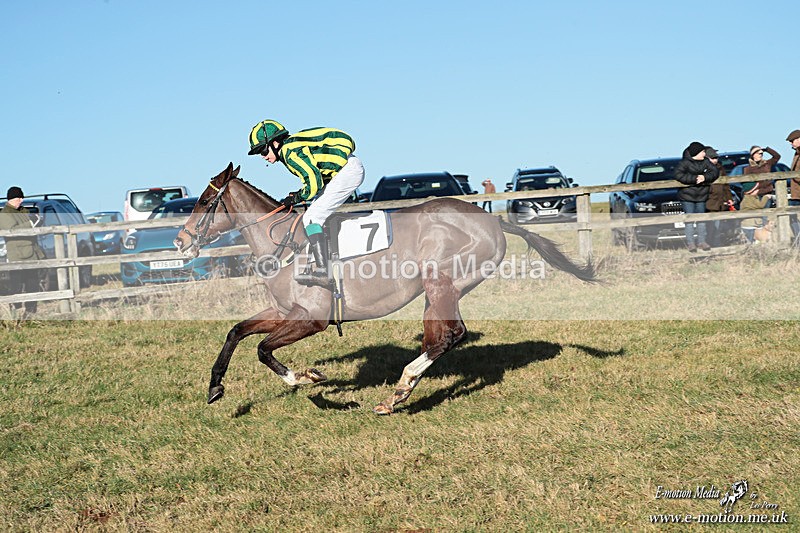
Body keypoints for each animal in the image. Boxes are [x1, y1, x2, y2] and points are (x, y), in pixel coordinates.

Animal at [174, 163, 595, 414]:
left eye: (206, 201)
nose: (180, 241)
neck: (285, 245)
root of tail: (491, 220)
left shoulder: (311, 320)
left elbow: (262, 349)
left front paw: (308, 379)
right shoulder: (283, 312)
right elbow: (237, 332)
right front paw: (215, 388)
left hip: (441, 280)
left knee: (451, 335)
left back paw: (402, 387)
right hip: (439, 290)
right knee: (441, 337)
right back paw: (402, 390)